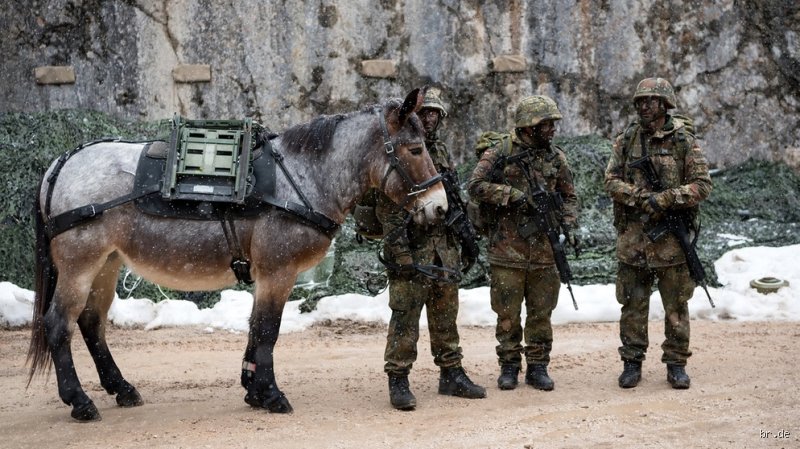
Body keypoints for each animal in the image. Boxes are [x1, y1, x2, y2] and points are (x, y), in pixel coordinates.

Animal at [27, 88, 447, 421]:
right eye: (415, 149)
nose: (440, 207)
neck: (301, 177)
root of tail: (61, 164)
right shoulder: (278, 272)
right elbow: (268, 329)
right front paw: (271, 394)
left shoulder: (265, 275)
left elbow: (256, 327)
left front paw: (253, 389)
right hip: (80, 265)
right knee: (59, 324)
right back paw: (79, 401)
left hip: (106, 264)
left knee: (91, 323)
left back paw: (121, 388)